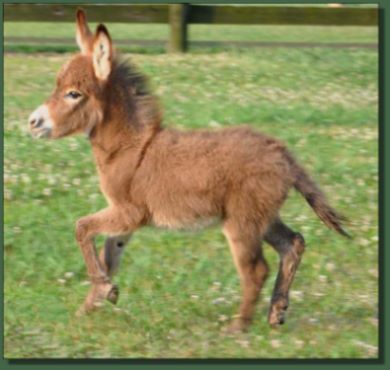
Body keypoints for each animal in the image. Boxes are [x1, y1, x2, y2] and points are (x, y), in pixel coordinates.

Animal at [29, 10, 348, 330]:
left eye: (73, 94)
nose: (32, 122)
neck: (129, 147)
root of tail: (282, 153)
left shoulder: (129, 212)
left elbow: (81, 228)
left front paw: (102, 292)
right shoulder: (126, 220)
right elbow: (109, 256)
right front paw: (91, 305)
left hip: (242, 222)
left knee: (257, 269)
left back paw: (238, 328)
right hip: (263, 217)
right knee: (293, 243)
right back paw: (276, 311)